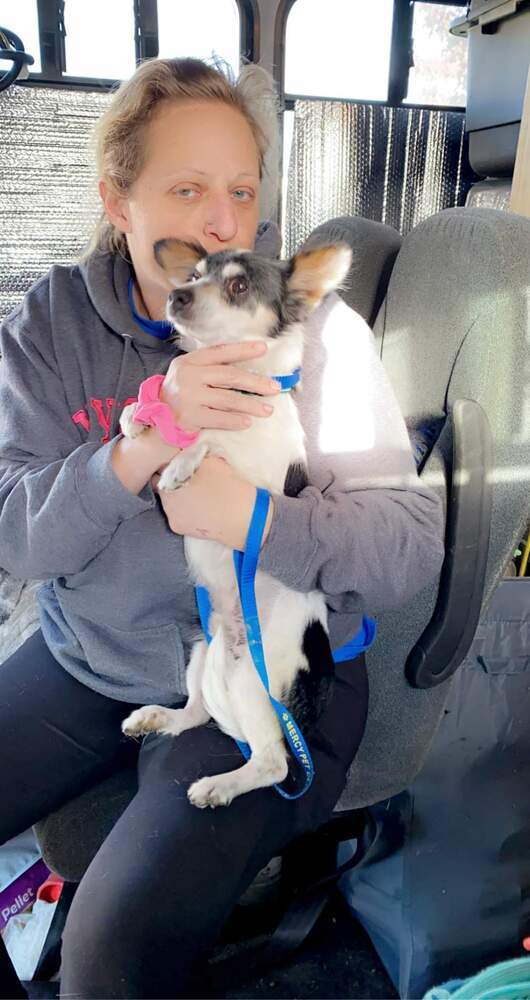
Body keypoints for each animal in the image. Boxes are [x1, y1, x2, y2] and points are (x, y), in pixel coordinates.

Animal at [120, 238, 350, 808]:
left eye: (239, 286)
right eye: (193, 275)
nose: (176, 296)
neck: (234, 386)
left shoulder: (260, 478)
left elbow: (213, 440)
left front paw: (181, 460)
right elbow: (154, 415)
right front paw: (138, 419)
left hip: (251, 676)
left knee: (272, 764)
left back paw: (218, 786)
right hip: (203, 654)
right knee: (194, 715)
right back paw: (155, 717)